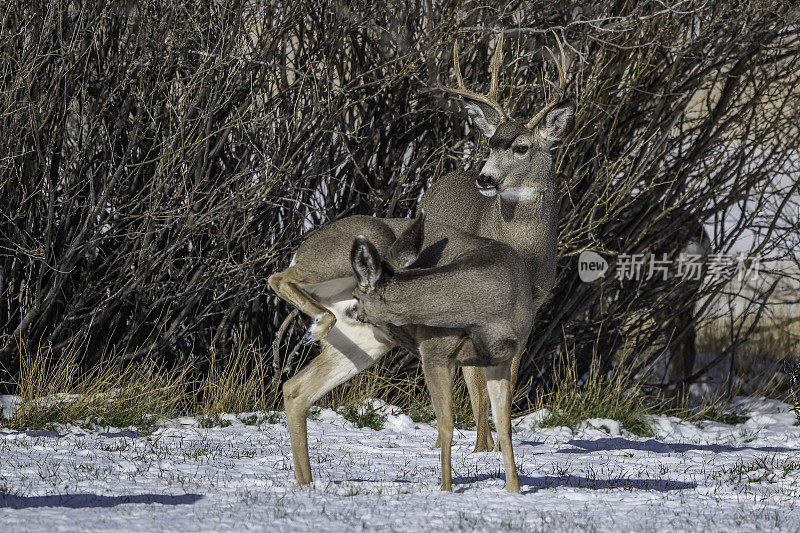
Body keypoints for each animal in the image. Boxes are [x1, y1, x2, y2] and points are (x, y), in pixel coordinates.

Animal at [268, 209, 532, 490]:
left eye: (358, 296)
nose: (352, 308)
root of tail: (303, 247)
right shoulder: (434, 353)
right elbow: (446, 426)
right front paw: (446, 490)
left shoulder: (501, 359)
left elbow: (504, 427)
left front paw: (514, 490)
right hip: (366, 241)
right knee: (279, 278)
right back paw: (317, 325)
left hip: (367, 343)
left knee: (296, 389)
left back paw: (306, 483)